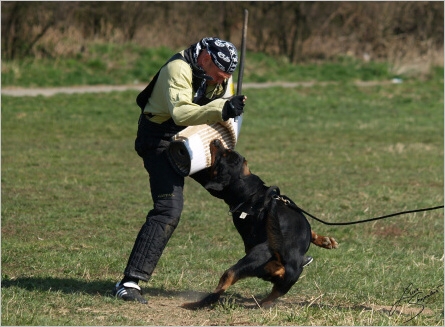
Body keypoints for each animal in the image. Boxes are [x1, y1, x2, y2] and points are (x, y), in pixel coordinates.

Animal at [184, 139, 336, 310]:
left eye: (224, 154)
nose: (216, 141)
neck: (253, 192)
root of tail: (286, 259)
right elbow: (311, 231)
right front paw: (325, 241)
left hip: (246, 264)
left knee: (225, 279)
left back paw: (197, 303)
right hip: (281, 283)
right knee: (270, 296)